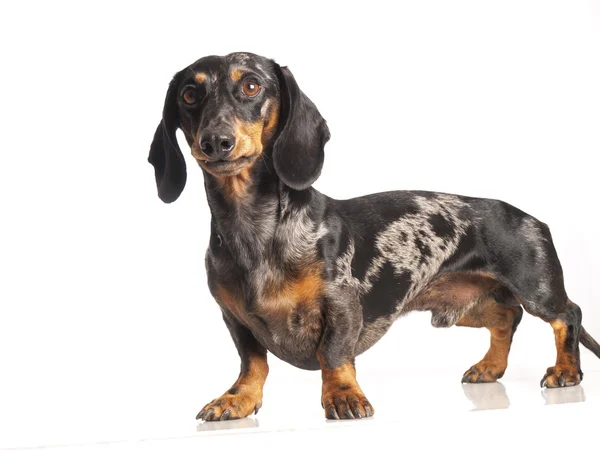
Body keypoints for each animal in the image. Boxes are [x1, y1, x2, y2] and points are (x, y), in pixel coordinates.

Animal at [146, 52, 600, 422]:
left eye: (251, 85)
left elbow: (333, 354)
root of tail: (531, 217)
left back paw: (566, 370)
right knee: (507, 317)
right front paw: (238, 399)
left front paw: (343, 396)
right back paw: (490, 366)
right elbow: (252, 362)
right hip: (465, 304)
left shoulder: (342, 304)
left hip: (536, 288)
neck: (255, 231)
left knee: (567, 314)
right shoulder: (235, 317)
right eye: (190, 94)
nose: (215, 142)